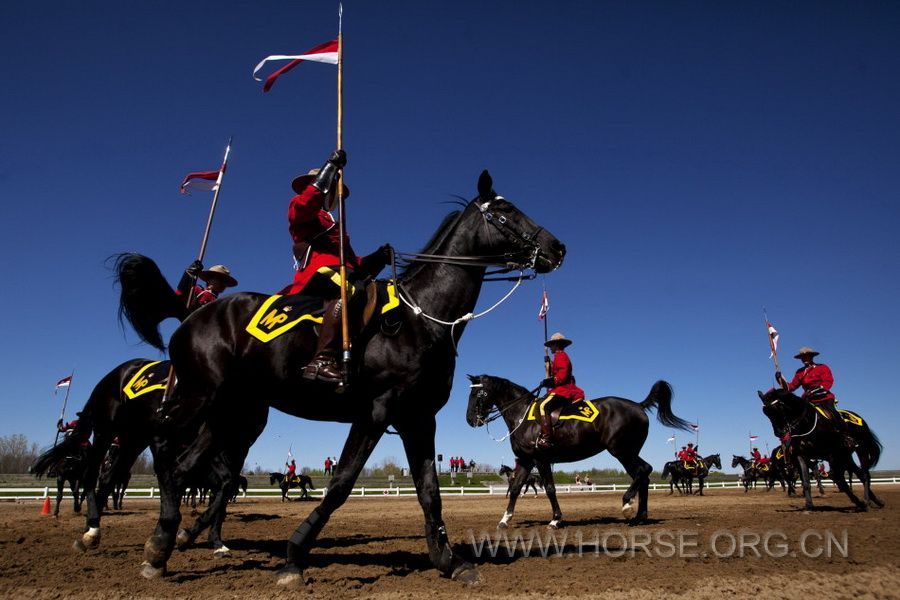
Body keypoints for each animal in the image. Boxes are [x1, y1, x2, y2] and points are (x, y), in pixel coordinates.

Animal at [112, 171, 564, 584]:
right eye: (506, 210)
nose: (557, 247)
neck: (421, 315)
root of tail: (195, 312)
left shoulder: (418, 419)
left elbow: (430, 493)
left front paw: (450, 561)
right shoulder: (376, 412)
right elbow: (342, 483)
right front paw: (295, 555)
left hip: (227, 413)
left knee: (183, 467)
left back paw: (164, 546)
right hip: (198, 398)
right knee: (163, 450)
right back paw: (159, 537)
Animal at [468, 376, 692, 528]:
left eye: (477, 393)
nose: (470, 419)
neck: (522, 415)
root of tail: (638, 405)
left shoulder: (541, 460)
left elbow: (550, 489)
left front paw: (556, 520)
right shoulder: (525, 460)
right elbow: (515, 488)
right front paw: (505, 519)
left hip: (621, 451)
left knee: (644, 470)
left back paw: (627, 504)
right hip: (627, 453)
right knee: (642, 475)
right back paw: (639, 517)